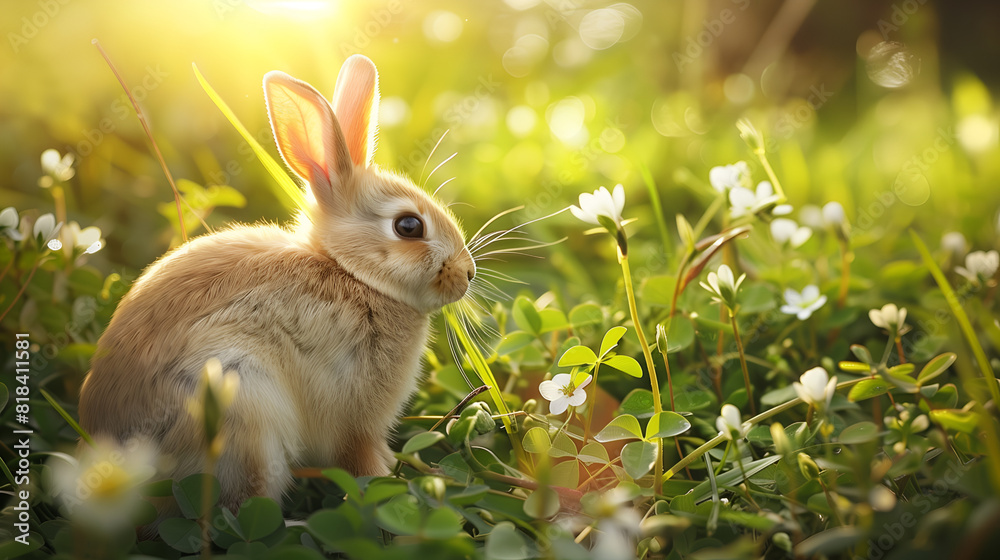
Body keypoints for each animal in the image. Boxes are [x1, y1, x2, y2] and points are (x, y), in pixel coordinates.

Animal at [78, 54, 476, 514]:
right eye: (409, 226)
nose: (467, 274)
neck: (351, 273)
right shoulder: (353, 419)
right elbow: (360, 462)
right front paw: (389, 483)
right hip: (242, 411)